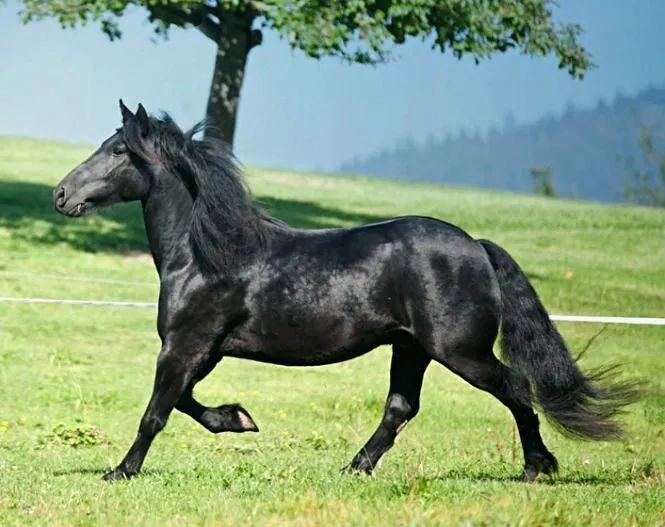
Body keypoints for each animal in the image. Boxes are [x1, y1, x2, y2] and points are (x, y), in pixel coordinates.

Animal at [53, 102, 632, 482]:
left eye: (119, 150)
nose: (62, 194)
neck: (204, 255)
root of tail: (475, 246)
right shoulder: (205, 352)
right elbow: (189, 404)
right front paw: (240, 419)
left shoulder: (183, 347)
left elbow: (157, 411)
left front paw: (120, 472)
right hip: (412, 348)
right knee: (401, 407)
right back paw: (355, 467)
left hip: (460, 351)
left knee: (516, 388)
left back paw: (538, 468)